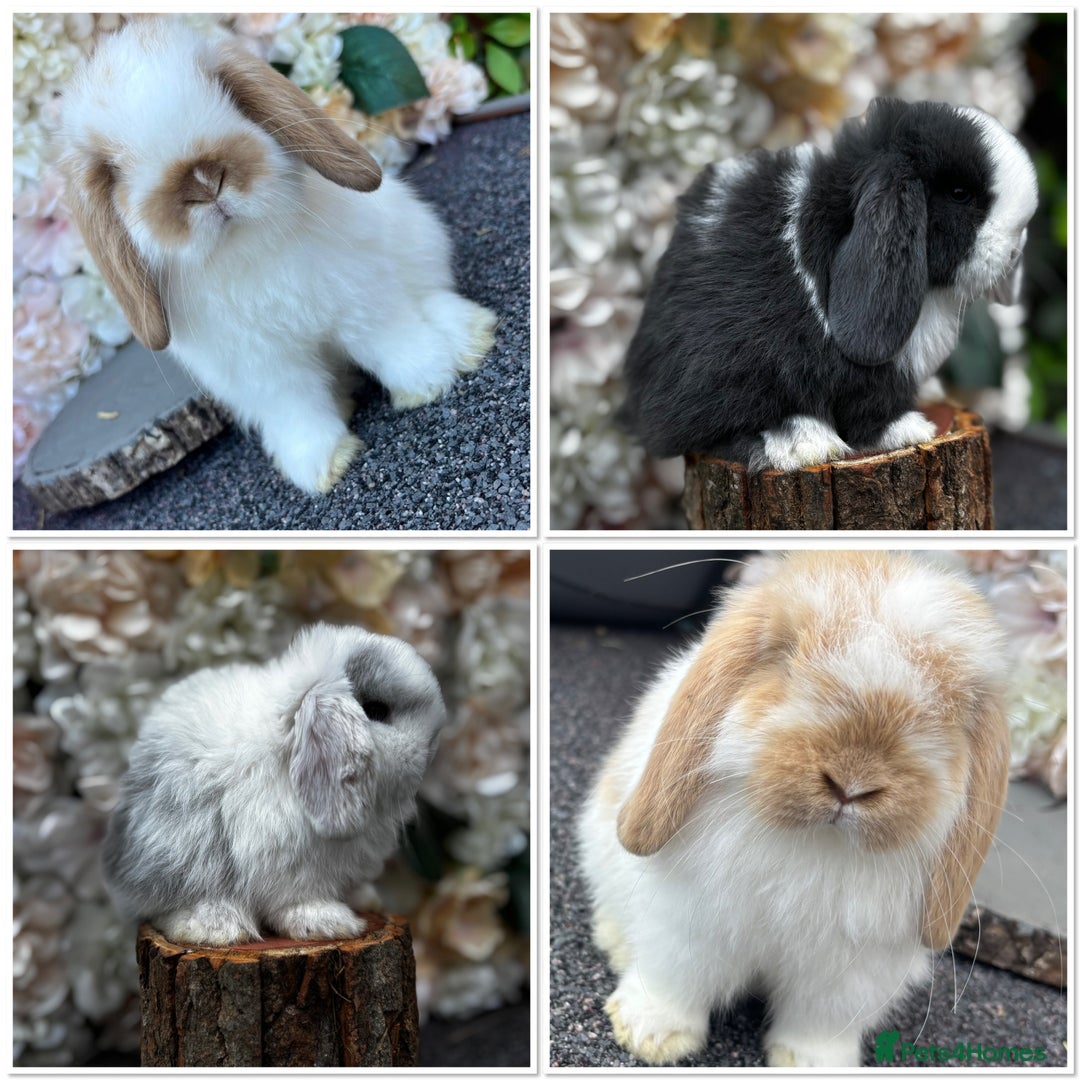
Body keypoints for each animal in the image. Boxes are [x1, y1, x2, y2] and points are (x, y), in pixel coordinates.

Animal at [56, 17, 497, 495]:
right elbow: (297, 408)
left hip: (417, 241)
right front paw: (321, 467)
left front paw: (428, 382)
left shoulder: (360, 298)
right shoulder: (262, 368)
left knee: (431, 295)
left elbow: (390, 340)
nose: (205, 181)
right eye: (113, 169)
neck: (242, 248)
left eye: (228, 96)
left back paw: (470, 337)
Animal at [102, 622, 446, 945]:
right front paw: (330, 922)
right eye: (376, 711)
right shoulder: (290, 866)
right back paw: (218, 928)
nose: (434, 744)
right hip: (180, 852)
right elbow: (299, 899)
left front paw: (363, 901)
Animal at [578, 550, 1010, 1067]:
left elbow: (818, 1023)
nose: (851, 783)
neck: (815, 843)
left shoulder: (849, 975)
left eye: (952, 710)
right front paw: (650, 1037)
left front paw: (812, 1063)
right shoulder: (689, 925)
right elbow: (676, 979)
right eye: (785, 658)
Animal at [620, 97, 1039, 471]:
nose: (1015, 253)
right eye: (959, 194)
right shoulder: (856, 368)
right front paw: (911, 429)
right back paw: (805, 445)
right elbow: (867, 401)